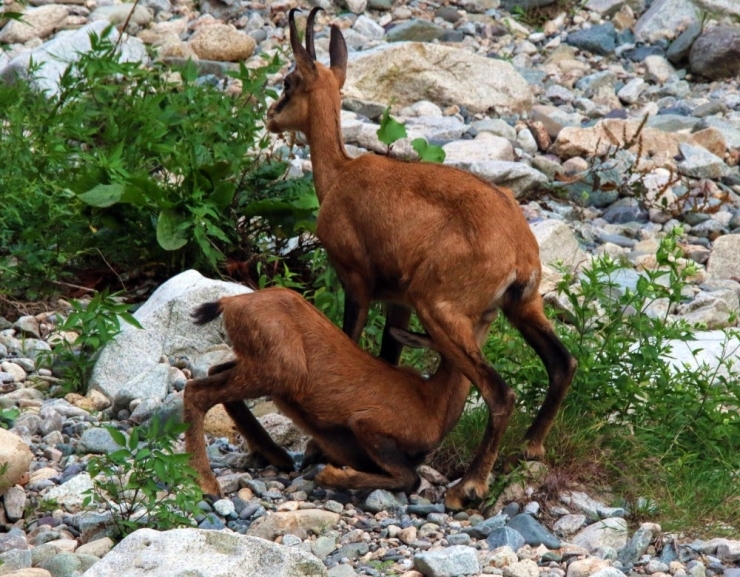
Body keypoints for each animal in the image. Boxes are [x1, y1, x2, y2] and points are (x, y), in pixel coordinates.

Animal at [182, 286, 488, 496]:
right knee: (197, 390)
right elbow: (408, 479)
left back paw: (277, 456)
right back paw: (206, 483)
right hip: (282, 367)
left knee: (215, 370)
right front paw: (332, 477)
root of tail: (229, 303)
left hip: (258, 362)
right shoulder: (369, 423)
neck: (434, 408)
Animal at [264, 6, 576, 506]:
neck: (340, 177)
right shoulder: (398, 302)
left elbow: (353, 341)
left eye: (290, 81)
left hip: (443, 311)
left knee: (500, 392)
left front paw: (318, 449)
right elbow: (388, 357)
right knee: (562, 363)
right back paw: (529, 449)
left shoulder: (356, 280)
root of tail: (520, 254)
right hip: (522, 306)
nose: (272, 117)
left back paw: (468, 487)